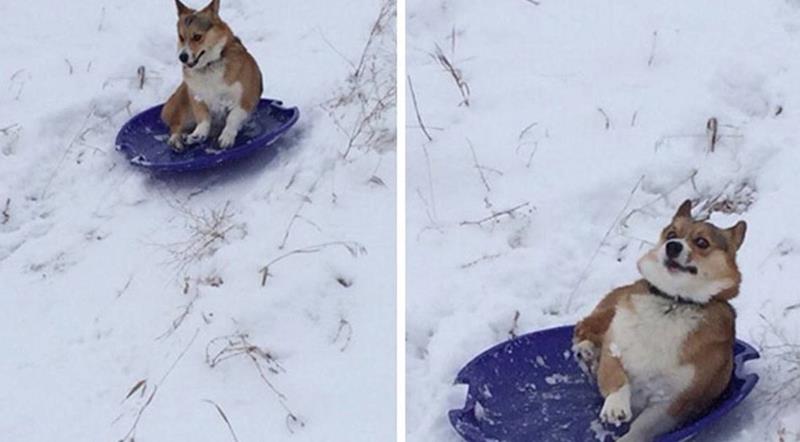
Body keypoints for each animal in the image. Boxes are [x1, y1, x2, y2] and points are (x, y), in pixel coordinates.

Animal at [159, 0, 262, 150]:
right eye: (181, 37)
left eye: (197, 37)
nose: (182, 57)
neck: (209, 66)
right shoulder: (197, 97)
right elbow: (203, 118)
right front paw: (199, 133)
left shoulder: (245, 100)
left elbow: (233, 117)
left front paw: (227, 136)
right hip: (183, 104)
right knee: (175, 125)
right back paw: (176, 139)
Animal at [572, 201, 748, 442]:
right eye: (671, 234)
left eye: (702, 242)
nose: (672, 246)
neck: (674, 302)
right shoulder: (614, 348)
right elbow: (615, 377)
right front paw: (615, 407)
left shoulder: (673, 401)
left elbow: (643, 426)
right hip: (607, 313)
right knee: (583, 327)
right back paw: (586, 350)